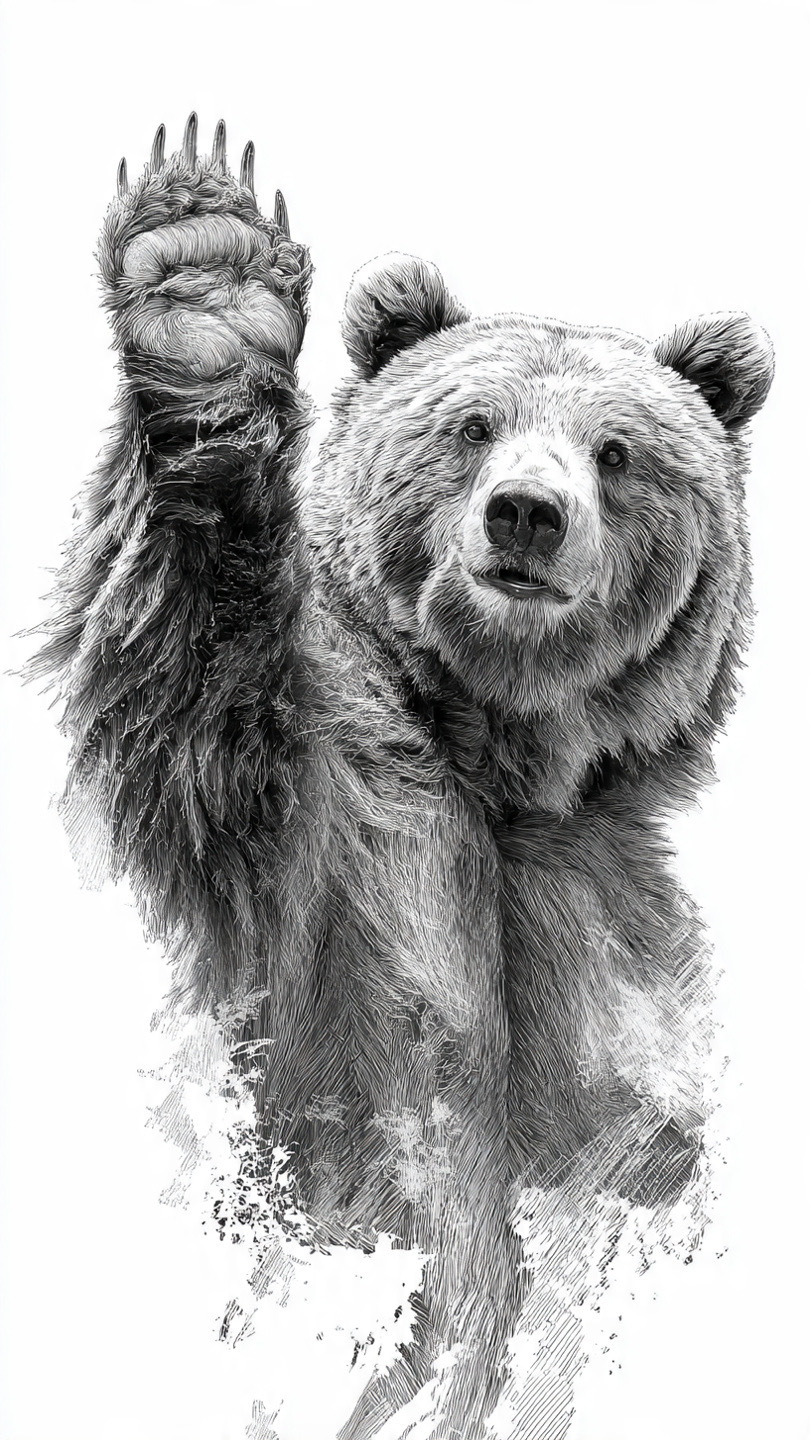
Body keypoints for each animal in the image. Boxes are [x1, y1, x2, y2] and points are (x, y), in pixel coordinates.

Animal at [35, 114, 773, 1440]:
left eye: (617, 450)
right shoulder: (329, 834)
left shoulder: (611, 926)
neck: (508, 760)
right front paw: (206, 276)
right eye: (473, 424)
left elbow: (637, 1144)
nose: (526, 514)